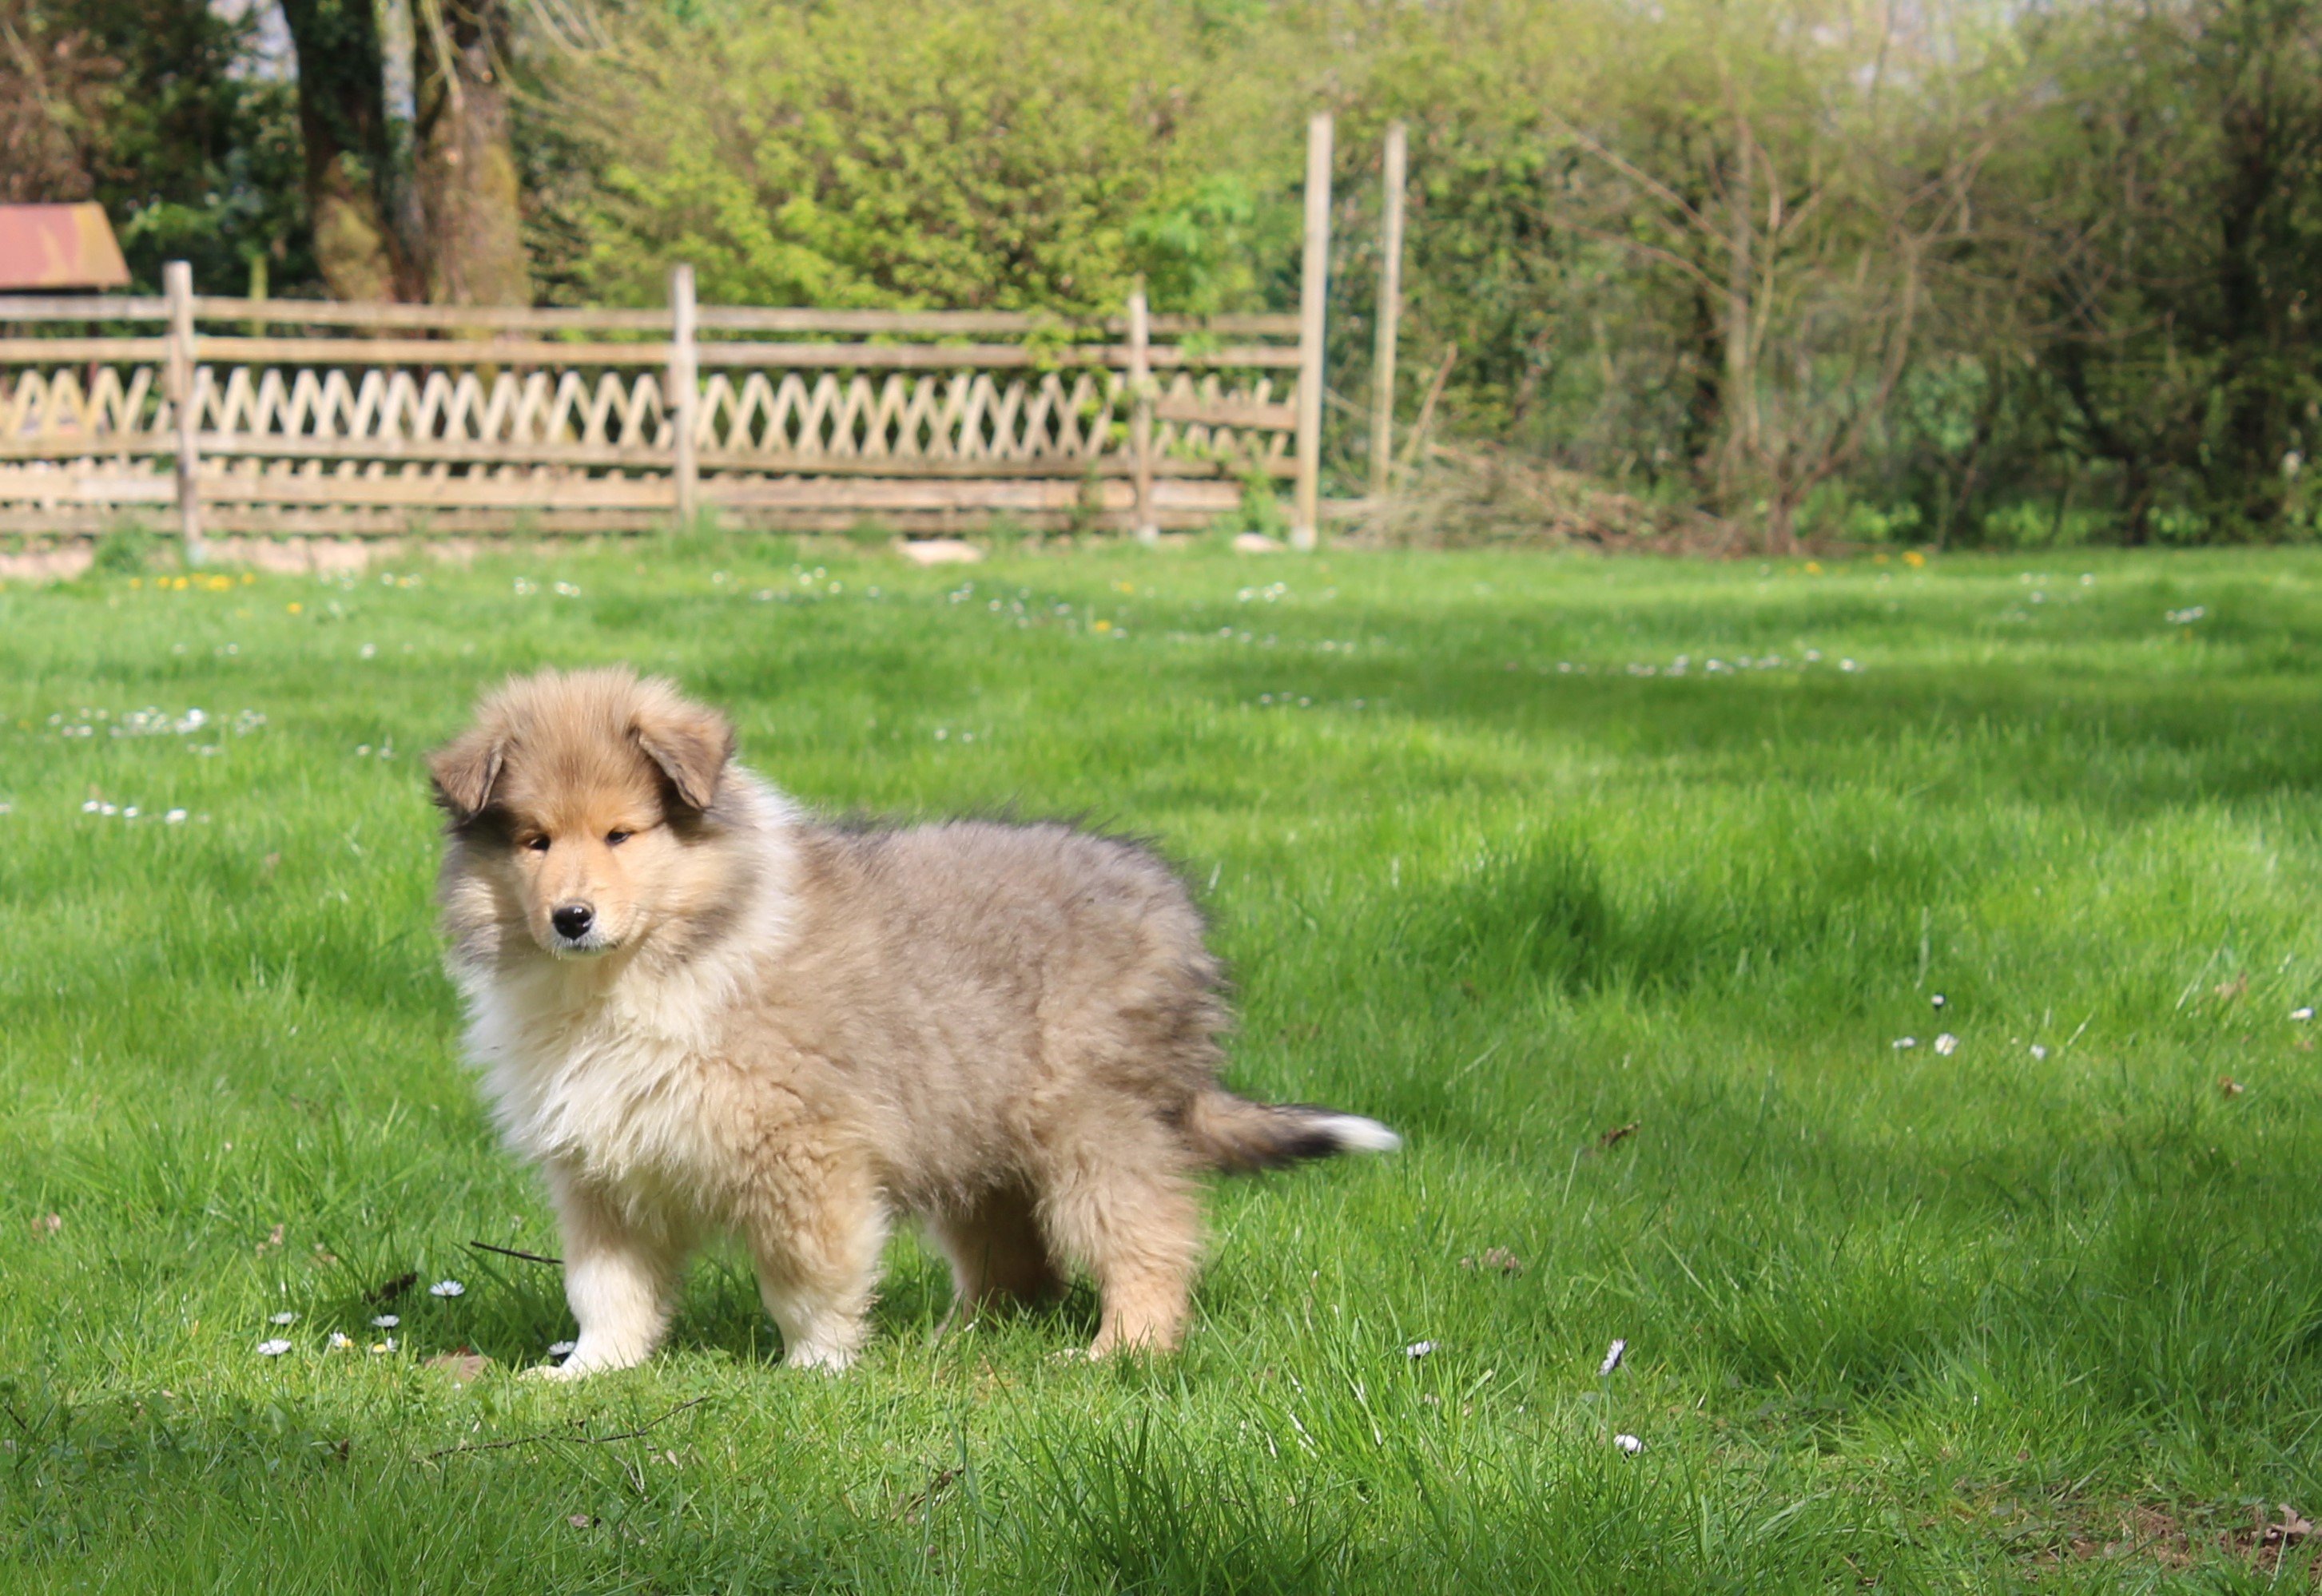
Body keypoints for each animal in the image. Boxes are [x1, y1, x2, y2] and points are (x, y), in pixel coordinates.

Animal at [431, 668, 1393, 1373]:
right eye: (535, 842)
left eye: (622, 836)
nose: (572, 919)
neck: (651, 967)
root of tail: (1170, 904)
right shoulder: (601, 1165)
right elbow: (607, 1288)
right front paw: (588, 1374)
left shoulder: (803, 1151)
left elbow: (807, 1275)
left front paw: (816, 1370)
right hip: (975, 1136)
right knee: (1014, 1263)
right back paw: (956, 1345)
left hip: (1094, 1124)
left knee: (1147, 1237)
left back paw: (1118, 1353)